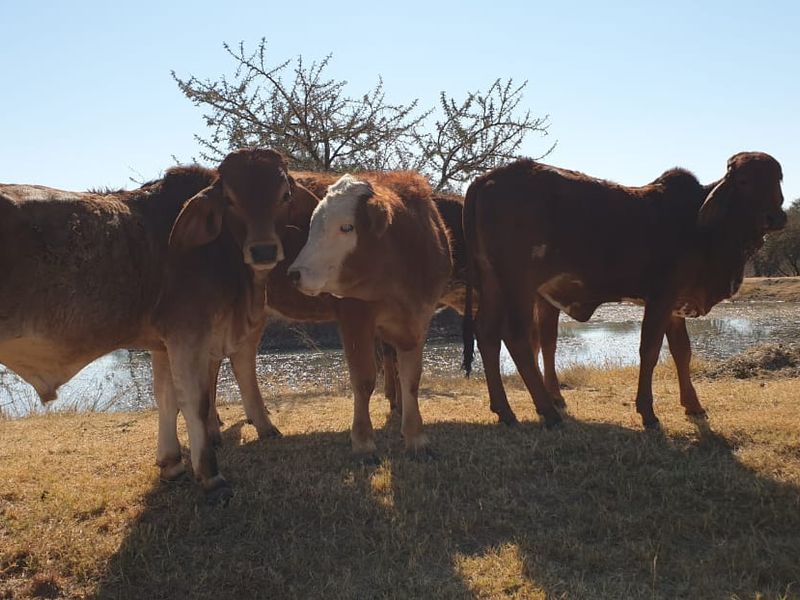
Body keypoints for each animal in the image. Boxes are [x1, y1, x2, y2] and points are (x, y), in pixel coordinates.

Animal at [0, 148, 295, 502]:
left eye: (284, 195)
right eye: (230, 199)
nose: (264, 250)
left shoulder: (163, 344)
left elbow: (166, 399)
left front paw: (171, 463)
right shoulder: (188, 335)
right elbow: (194, 402)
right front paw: (211, 476)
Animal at [285, 172, 452, 454]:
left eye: (347, 227)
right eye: (313, 226)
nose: (295, 274)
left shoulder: (419, 320)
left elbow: (411, 379)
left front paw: (415, 436)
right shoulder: (355, 317)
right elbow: (363, 381)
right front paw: (363, 442)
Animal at [462, 152, 786, 429]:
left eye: (778, 178)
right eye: (743, 181)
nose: (776, 218)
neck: (700, 227)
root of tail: (488, 178)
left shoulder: (675, 306)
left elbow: (682, 353)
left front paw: (693, 405)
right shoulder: (660, 298)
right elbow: (650, 351)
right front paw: (648, 412)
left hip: (493, 283)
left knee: (488, 334)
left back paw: (506, 411)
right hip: (518, 284)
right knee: (517, 338)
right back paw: (548, 411)